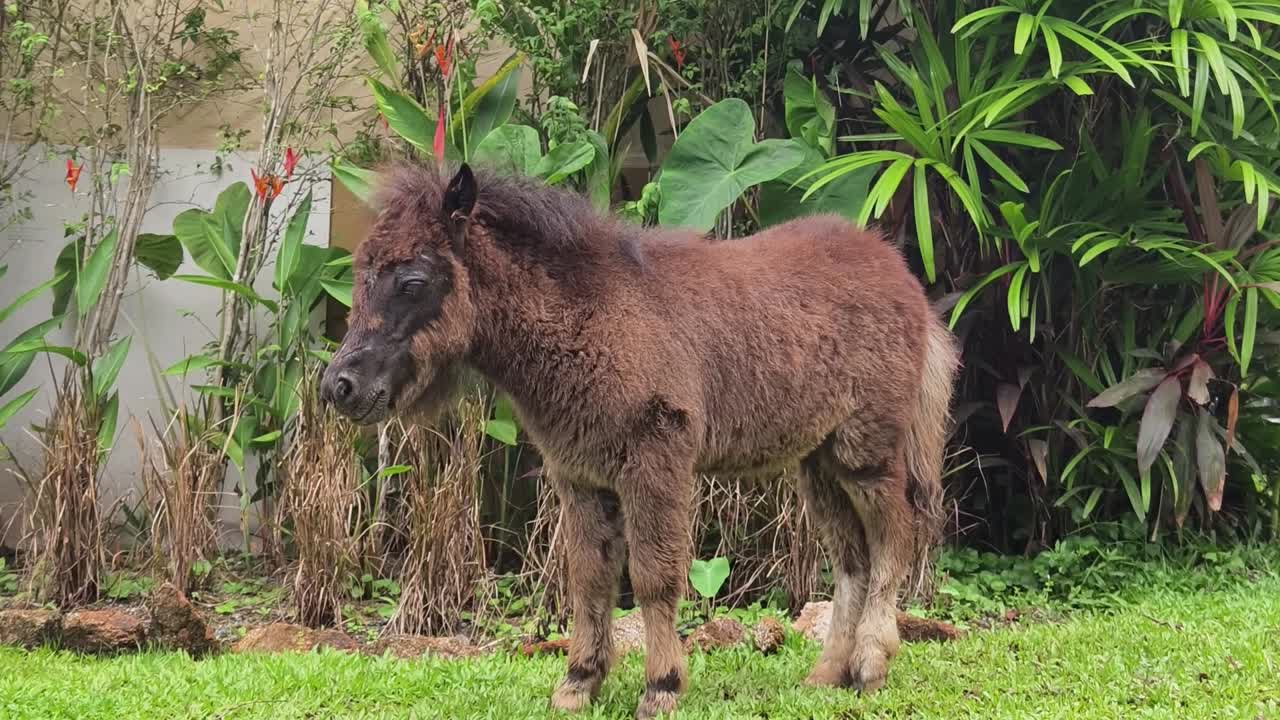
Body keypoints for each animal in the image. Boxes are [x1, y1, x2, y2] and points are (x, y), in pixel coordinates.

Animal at [321, 162, 958, 718]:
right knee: (851, 558)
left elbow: (655, 577)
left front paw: (662, 687)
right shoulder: (580, 476)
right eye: (359, 272)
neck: (589, 314)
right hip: (817, 462)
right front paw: (578, 683)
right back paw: (827, 675)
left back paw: (871, 665)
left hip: (866, 452)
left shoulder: (656, 464)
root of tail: (903, 278)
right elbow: (589, 578)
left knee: (894, 539)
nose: (339, 387)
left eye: (412, 281)